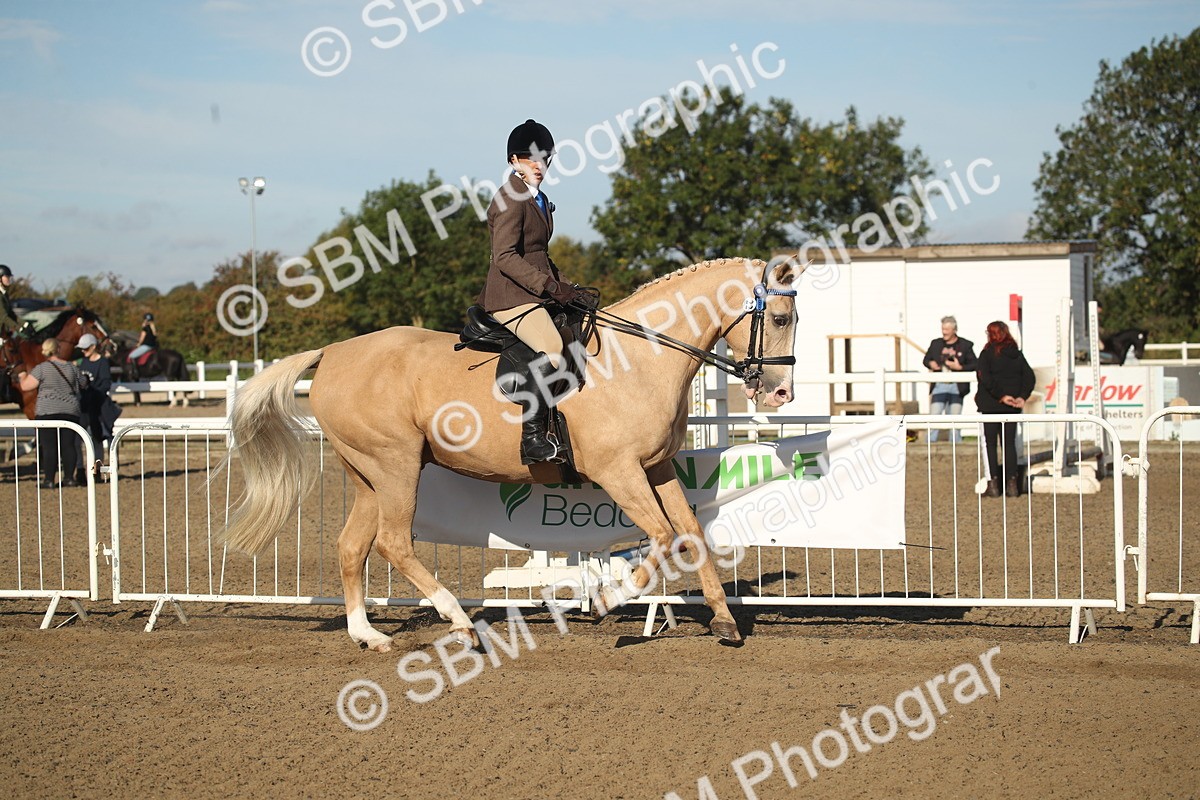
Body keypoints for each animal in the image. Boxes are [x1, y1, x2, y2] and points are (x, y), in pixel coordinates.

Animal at [222, 257, 802, 651]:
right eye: (779, 318)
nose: (779, 394)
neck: (641, 358)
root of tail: (333, 353)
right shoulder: (618, 471)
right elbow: (660, 538)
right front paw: (605, 600)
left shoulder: (656, 467)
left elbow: (691, 534)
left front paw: (725, 621)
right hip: (396, 466)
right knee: (393, 542)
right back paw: (460, 623)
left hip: (369, 474)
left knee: (351, 547)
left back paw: (368, 635)